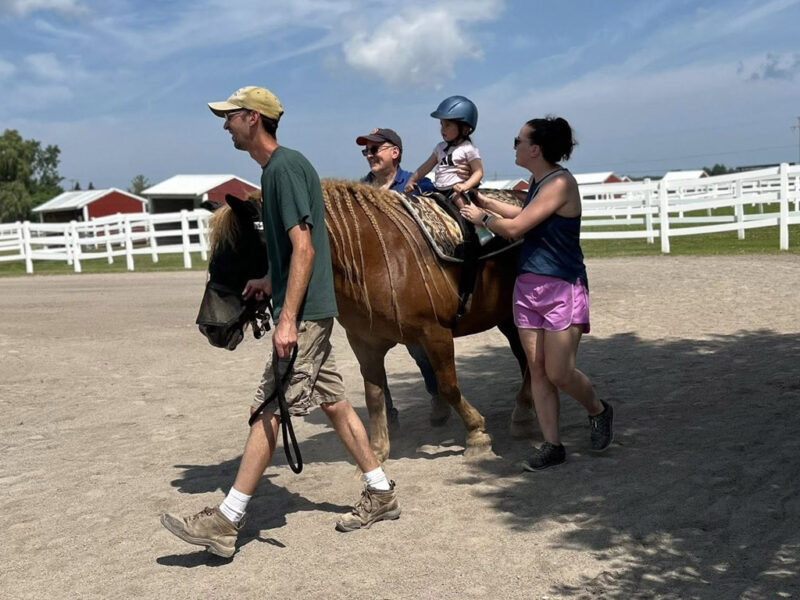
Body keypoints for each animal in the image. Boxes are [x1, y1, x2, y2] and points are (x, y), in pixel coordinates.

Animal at [204, 183, 535, 463]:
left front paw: (476, 434)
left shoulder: (435, 334)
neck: (379, 256)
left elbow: (448, 386)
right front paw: (376, 450)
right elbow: (374, 395)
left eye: (241, 249)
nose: (209, 326)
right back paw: (523, 412)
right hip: (507, 318)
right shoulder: (365, 343)